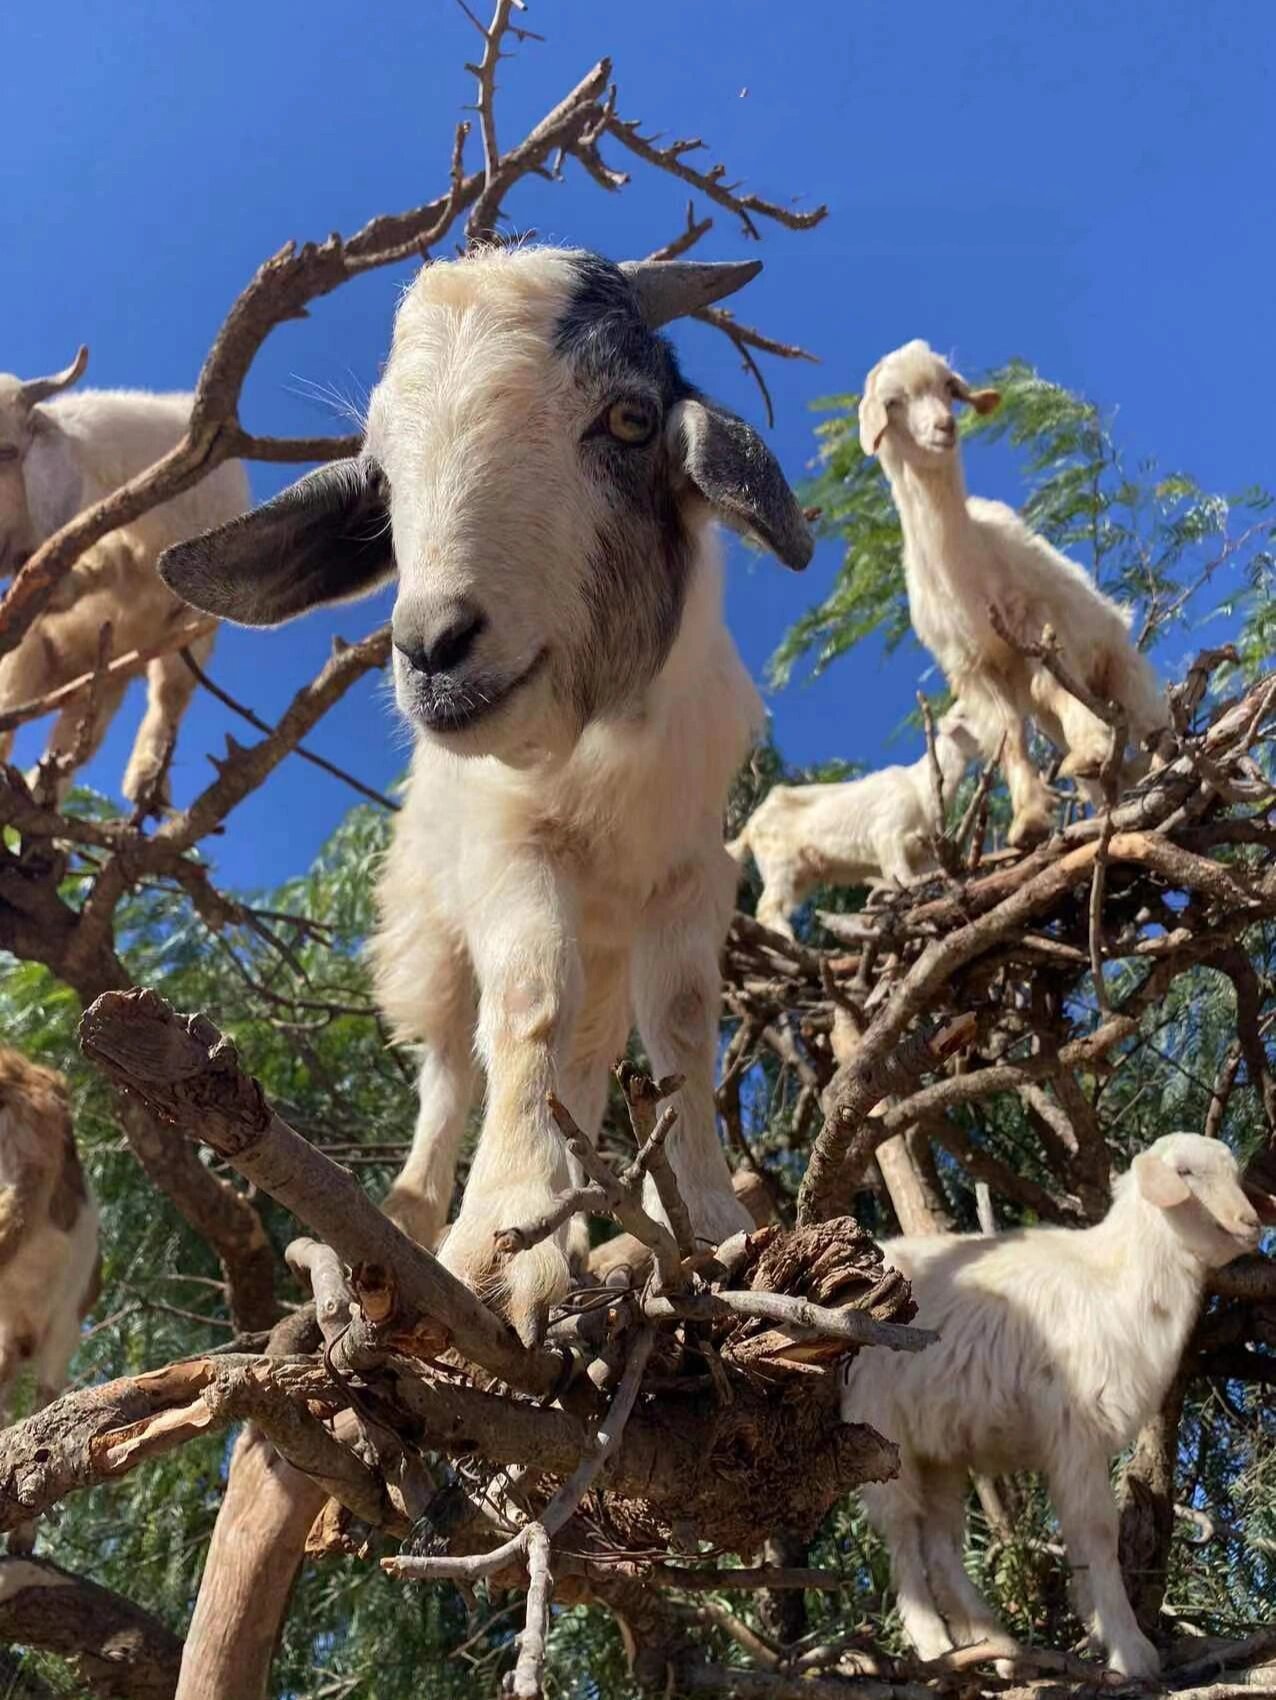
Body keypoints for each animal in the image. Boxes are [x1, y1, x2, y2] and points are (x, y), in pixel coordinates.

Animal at [0, 348, 249, 805]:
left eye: (7, 452)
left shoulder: (199, 618)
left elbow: (172, 692)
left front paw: (147, 781)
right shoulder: (113, 538)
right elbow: (101, 564)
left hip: (102, 682)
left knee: (73, 743)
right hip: (34, 655)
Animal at [159, 248, 812, 1339]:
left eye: (630, 419)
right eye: (381, 479)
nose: (432, 648)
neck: (601, 745)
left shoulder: (694, 874)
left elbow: (681, 1027)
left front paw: (720, 1229)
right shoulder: (510, 849)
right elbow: (527, 1000)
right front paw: (500, 1245)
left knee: (582, 1067)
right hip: (427, 931)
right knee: (451, 1074)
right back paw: (412, 1226)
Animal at [723, 703, 985, 945]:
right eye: (964, 713)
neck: (921, 787)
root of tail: (749, 827)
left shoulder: (924, 853)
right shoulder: (888, 831)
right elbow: (900, 875)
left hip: (802, 875)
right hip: (778, 860)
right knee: (767, 907)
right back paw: (786, 937)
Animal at [842, 1135, 1270, 1679]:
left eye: (1234, 1174)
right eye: (1185, 1173)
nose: (1250, 1222)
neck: (1119, 1280)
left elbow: (1083, 1536)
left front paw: (1097, 1624)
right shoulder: (1077, 1431)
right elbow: (1098, 1531)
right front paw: (1130, 1650)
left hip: (937, 1442)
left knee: (940, 1541)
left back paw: (997, 1644)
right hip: (880, 1423)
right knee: (900, 1531)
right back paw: (935, 1644)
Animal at [859, 341, 1168, 850]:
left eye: (949, 387)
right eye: (893, 402)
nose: (944, 427)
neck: (969, 568)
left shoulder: (1042, 620)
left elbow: (1052, 685)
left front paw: (1088, 750)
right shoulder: (971, 665)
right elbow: (1006, 732)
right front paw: (1029, 820)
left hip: (1126, 669)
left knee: (1148, 721)